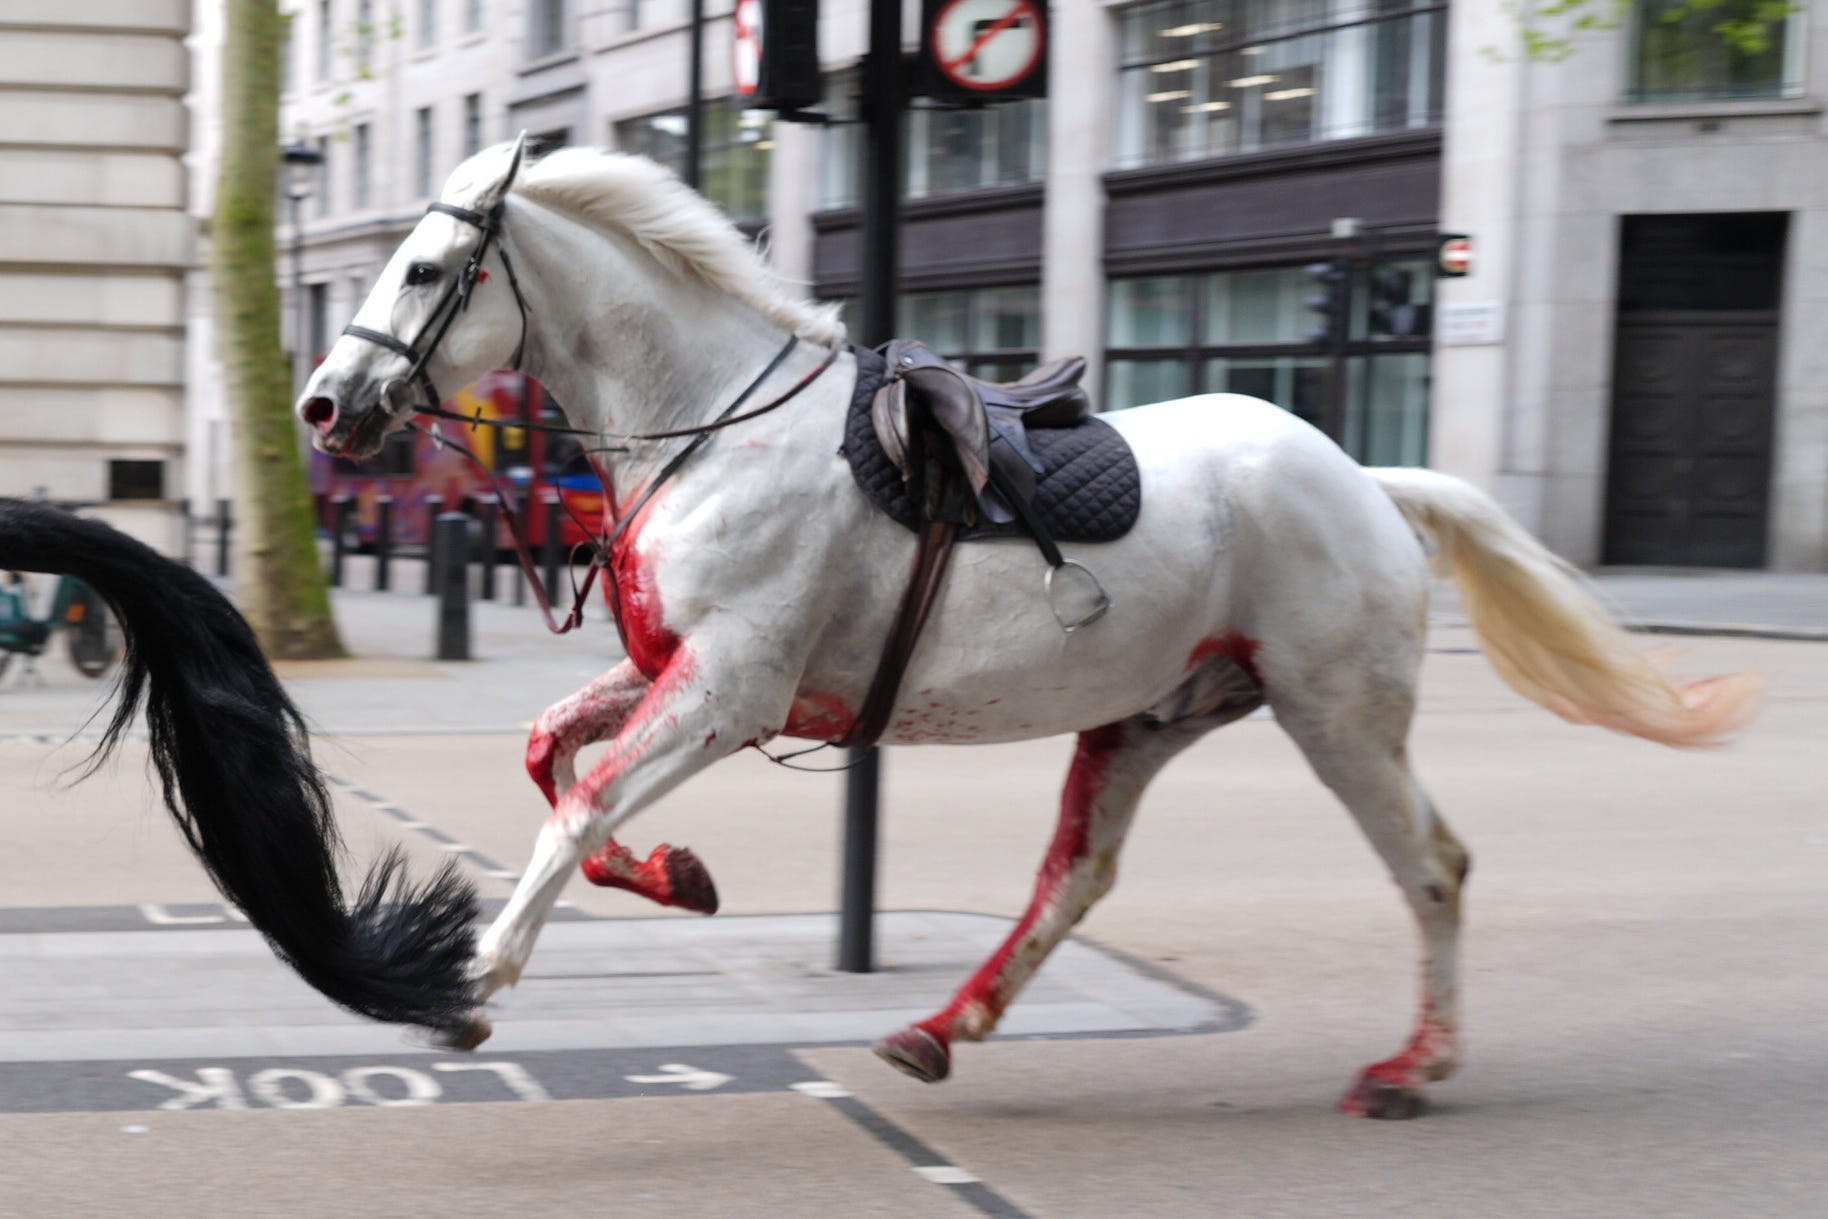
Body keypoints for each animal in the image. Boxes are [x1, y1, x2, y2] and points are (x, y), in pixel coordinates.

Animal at [296, 137, 1754, 1118]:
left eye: (426, 267)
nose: (320, 404)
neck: (711, 426)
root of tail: (1365, 478)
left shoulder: (729, 687)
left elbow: (583, 799)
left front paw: (475, 983)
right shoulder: (678, 669)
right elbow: (552, 754)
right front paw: (676, 873)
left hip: (1336, 713)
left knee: (1433, 866)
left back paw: (1413, 1063)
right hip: (1150, 716)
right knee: (1077, 876)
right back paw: (947, 1023)